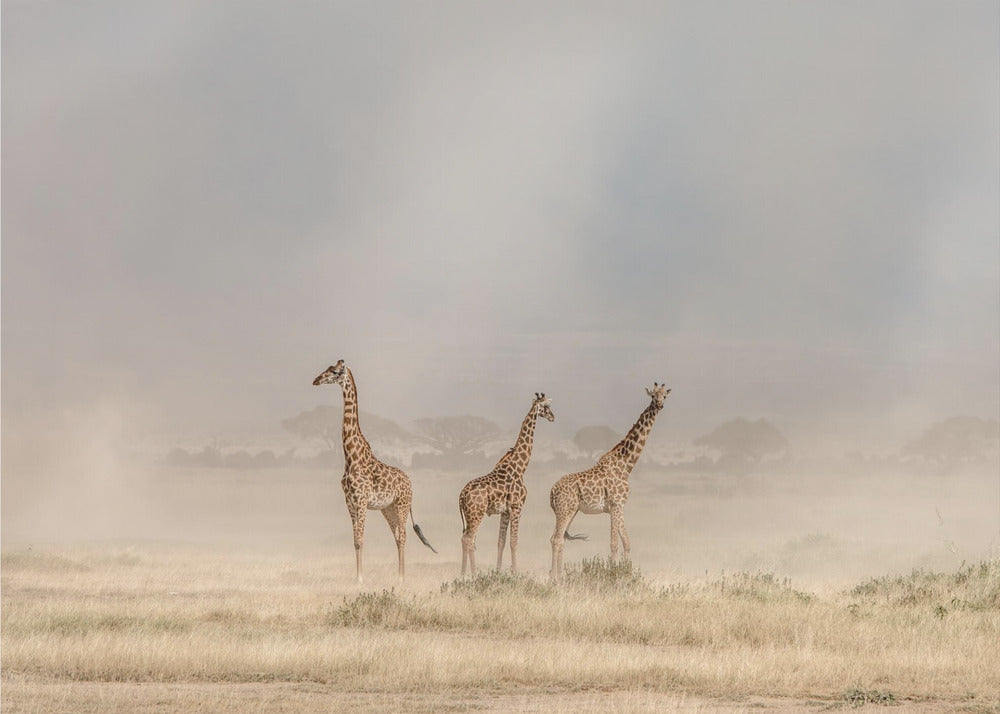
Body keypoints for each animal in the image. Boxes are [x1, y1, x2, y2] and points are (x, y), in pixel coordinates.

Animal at [312, 358, 438, 580]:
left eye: (335, 372)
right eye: (327, 369)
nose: (316, 380)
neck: (351, 456)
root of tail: (410, 483)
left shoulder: (362, 501)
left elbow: (361, 539)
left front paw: (360, 579)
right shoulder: (350, 503)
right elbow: (355, 541)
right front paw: (357, 578)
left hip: (402, 505)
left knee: (403, 535)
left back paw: (401, 578)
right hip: (388, 509)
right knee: (396, 536)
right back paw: (398, 576)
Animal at [458, 392, 556, 576]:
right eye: (546, 406)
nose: (553, 417)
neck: (520, 467)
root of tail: (461, 495)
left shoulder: (505, 511)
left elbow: (501, 541)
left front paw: (498, 572)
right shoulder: (517, 507)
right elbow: (514, 541)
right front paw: (515, 572)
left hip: (469, 515)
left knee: (467, 539)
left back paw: (464, 574)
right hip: (476, 514)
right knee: (469, 539)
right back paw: (472, 575)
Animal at [548, 382, 672, 576]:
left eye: (664, 396)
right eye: (653, 396)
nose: (659, 405)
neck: (626, 465)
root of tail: (552, 492)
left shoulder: (618, 507)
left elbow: (627, 543)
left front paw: (627, 572)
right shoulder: (616, 504)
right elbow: (614, 544)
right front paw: (614, 574)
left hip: (570, 511)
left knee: (557, 539)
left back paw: (558, 576)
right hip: (565, 510)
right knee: (557, 539)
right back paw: (555, 578)